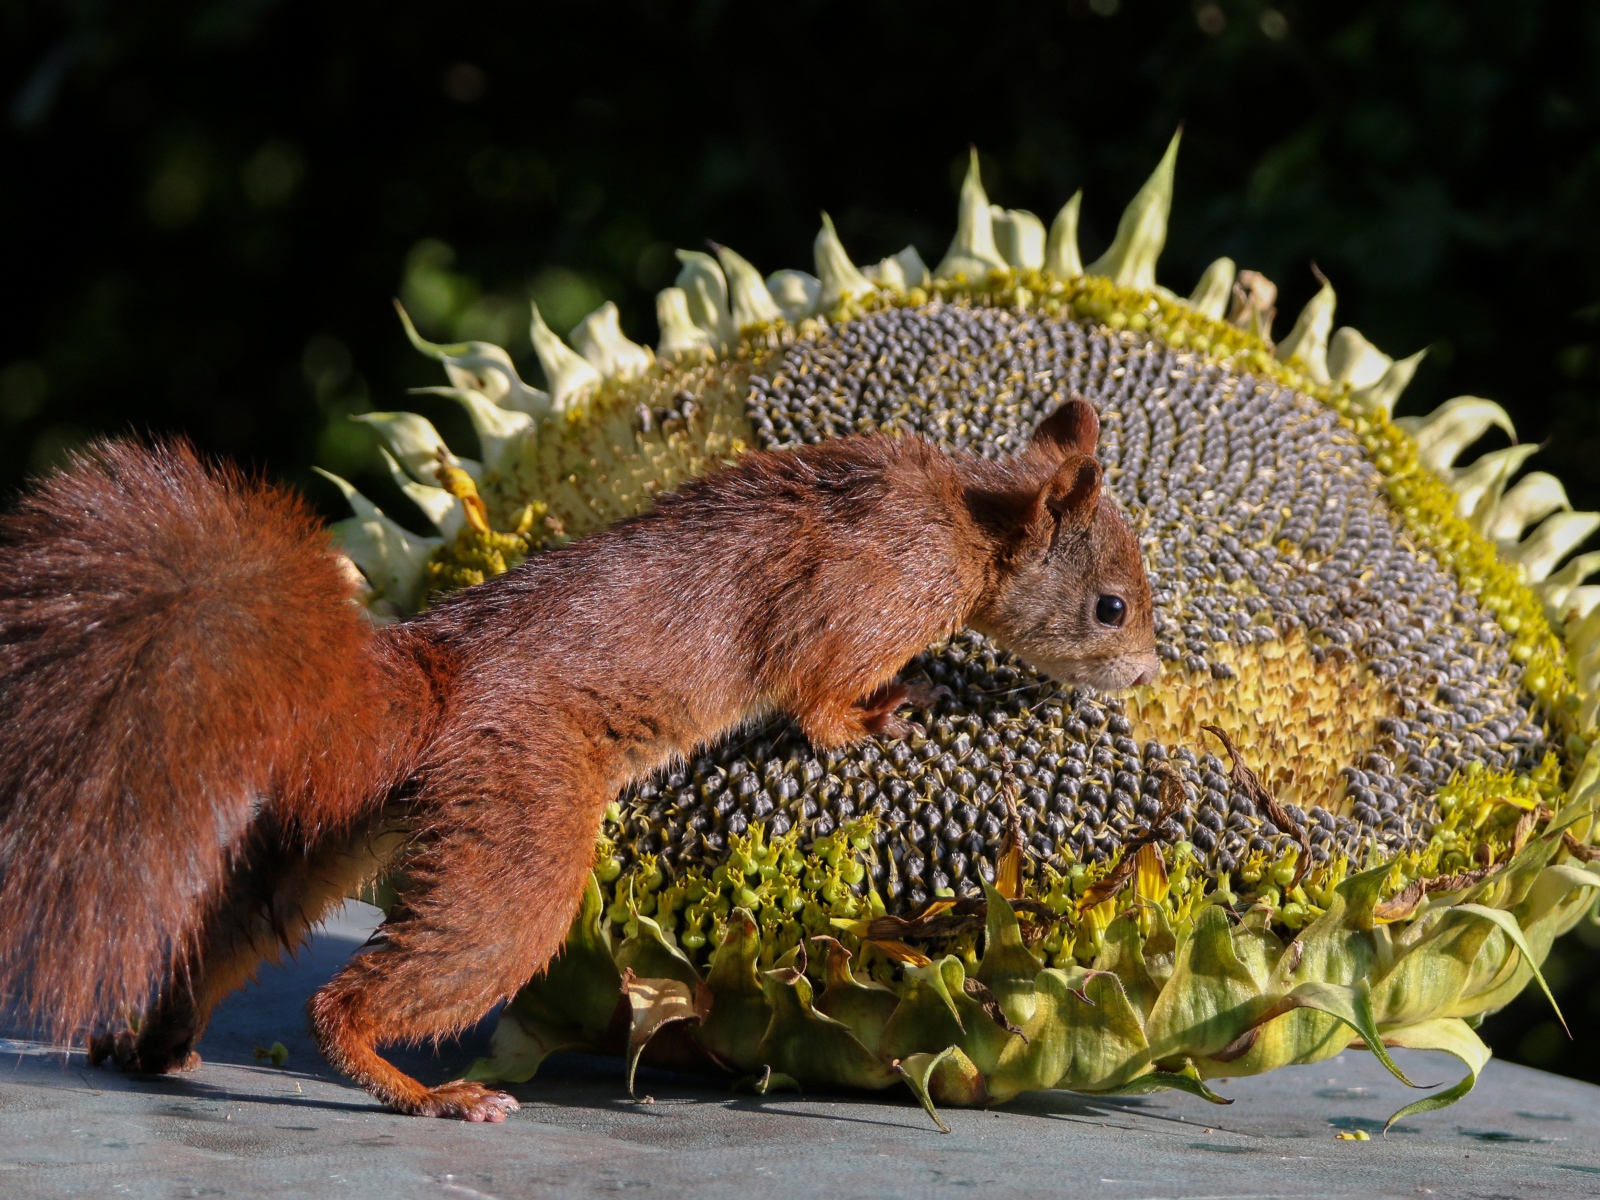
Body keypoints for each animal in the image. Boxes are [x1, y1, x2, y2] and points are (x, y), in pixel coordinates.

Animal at [0, 400, 1152, 1126]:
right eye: (1111, 605)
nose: (1143, 671)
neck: (964, 521)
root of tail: (435, 681)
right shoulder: (857, 608)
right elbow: (820, 702)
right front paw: (896, 708)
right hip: (524, 832)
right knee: (363, 994)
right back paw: (429, 1093)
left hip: (339, 834)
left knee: (233, 931)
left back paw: (158, 1043)